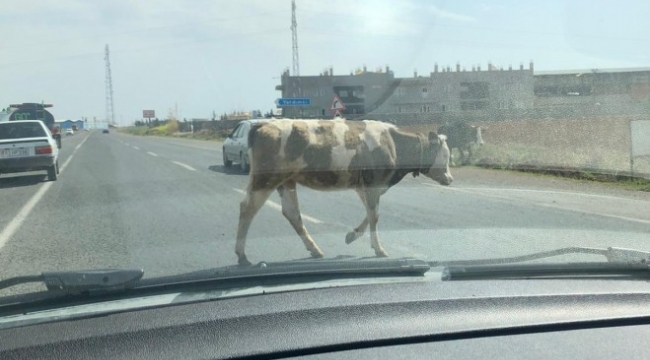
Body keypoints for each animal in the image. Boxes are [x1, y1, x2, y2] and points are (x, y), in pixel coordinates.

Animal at [233, 119, 450, 266]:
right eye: (446, 155)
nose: (450, 178)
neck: (393, 143)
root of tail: (264, 124)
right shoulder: (373, 183)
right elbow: (374, 216)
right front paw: (379, 249)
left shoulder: (365, 186)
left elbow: (371, 214)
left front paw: (352, 235)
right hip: (266, 178)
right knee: (247, 208)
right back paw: (242, 256)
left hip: (286, 181)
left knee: (292, 213)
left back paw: (315, 250)